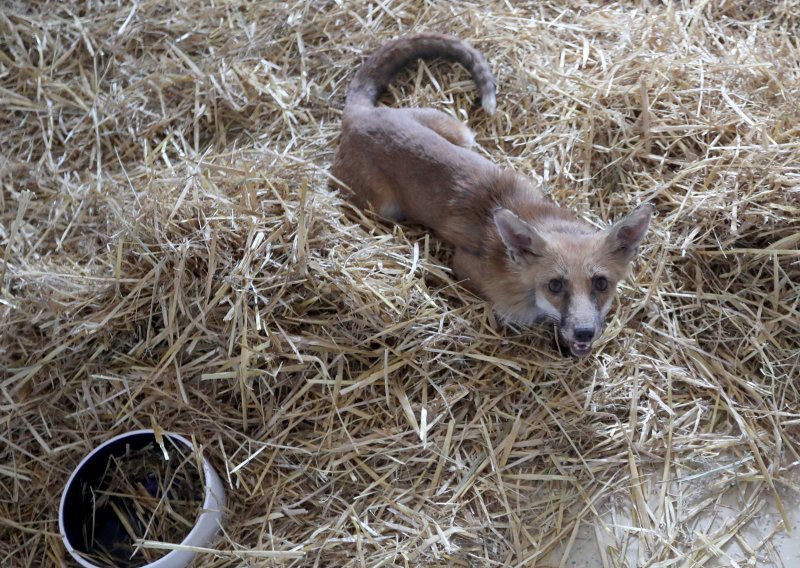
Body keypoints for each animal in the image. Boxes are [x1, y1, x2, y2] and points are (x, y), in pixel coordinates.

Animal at [332, 33, 648, 358]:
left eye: (601, 283)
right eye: (556, 285)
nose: (584, 332)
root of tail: (361, 116)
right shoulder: (466, 268)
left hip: (461, 133)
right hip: (382, 207)